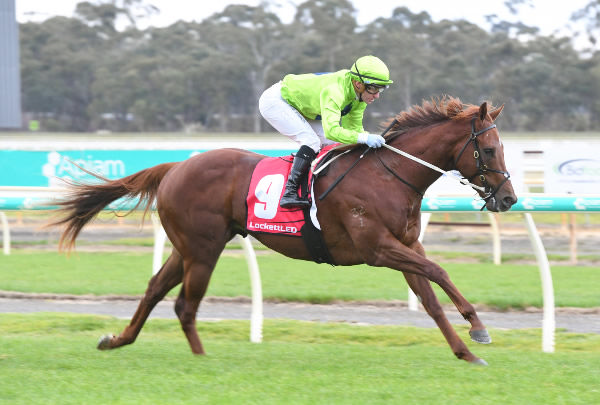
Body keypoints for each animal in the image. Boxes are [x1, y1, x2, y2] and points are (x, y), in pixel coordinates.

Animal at [50, 96, 516, 364]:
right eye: (489, 148)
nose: (509, 198)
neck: (390, 174)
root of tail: (177, 166)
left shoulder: (404, 245)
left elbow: (431, 298)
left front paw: (464, 350)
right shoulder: (377, 248)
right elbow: (440, 271)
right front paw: (477, 326)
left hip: (188, 247)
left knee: (154, 291)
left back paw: (118, 341)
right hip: (203, 249)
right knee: (185, 304)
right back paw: (201, 360)